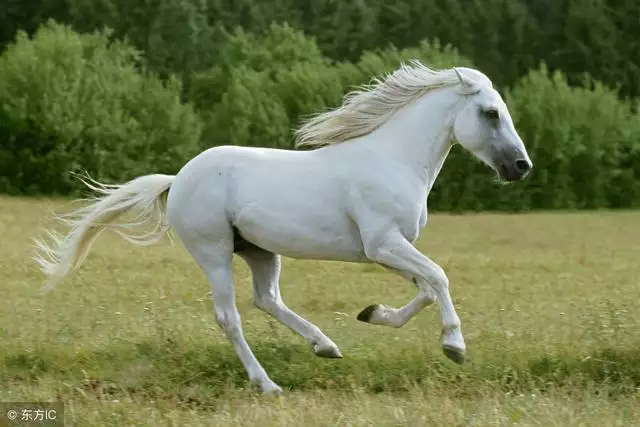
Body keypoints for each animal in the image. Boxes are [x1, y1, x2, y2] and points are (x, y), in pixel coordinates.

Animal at [36, 60, 536, 394]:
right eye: (491, 113)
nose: (521, 167)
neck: (393, 160)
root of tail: (178, 178)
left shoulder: (387, 250)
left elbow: (428, 288)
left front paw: (373, 314)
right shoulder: (383, 244)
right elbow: (439, 277)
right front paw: (455, 346)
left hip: (259, 250)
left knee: (267, 299)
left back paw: (326, 346)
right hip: (214, 253)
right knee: (231, 316)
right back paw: (268, 384)